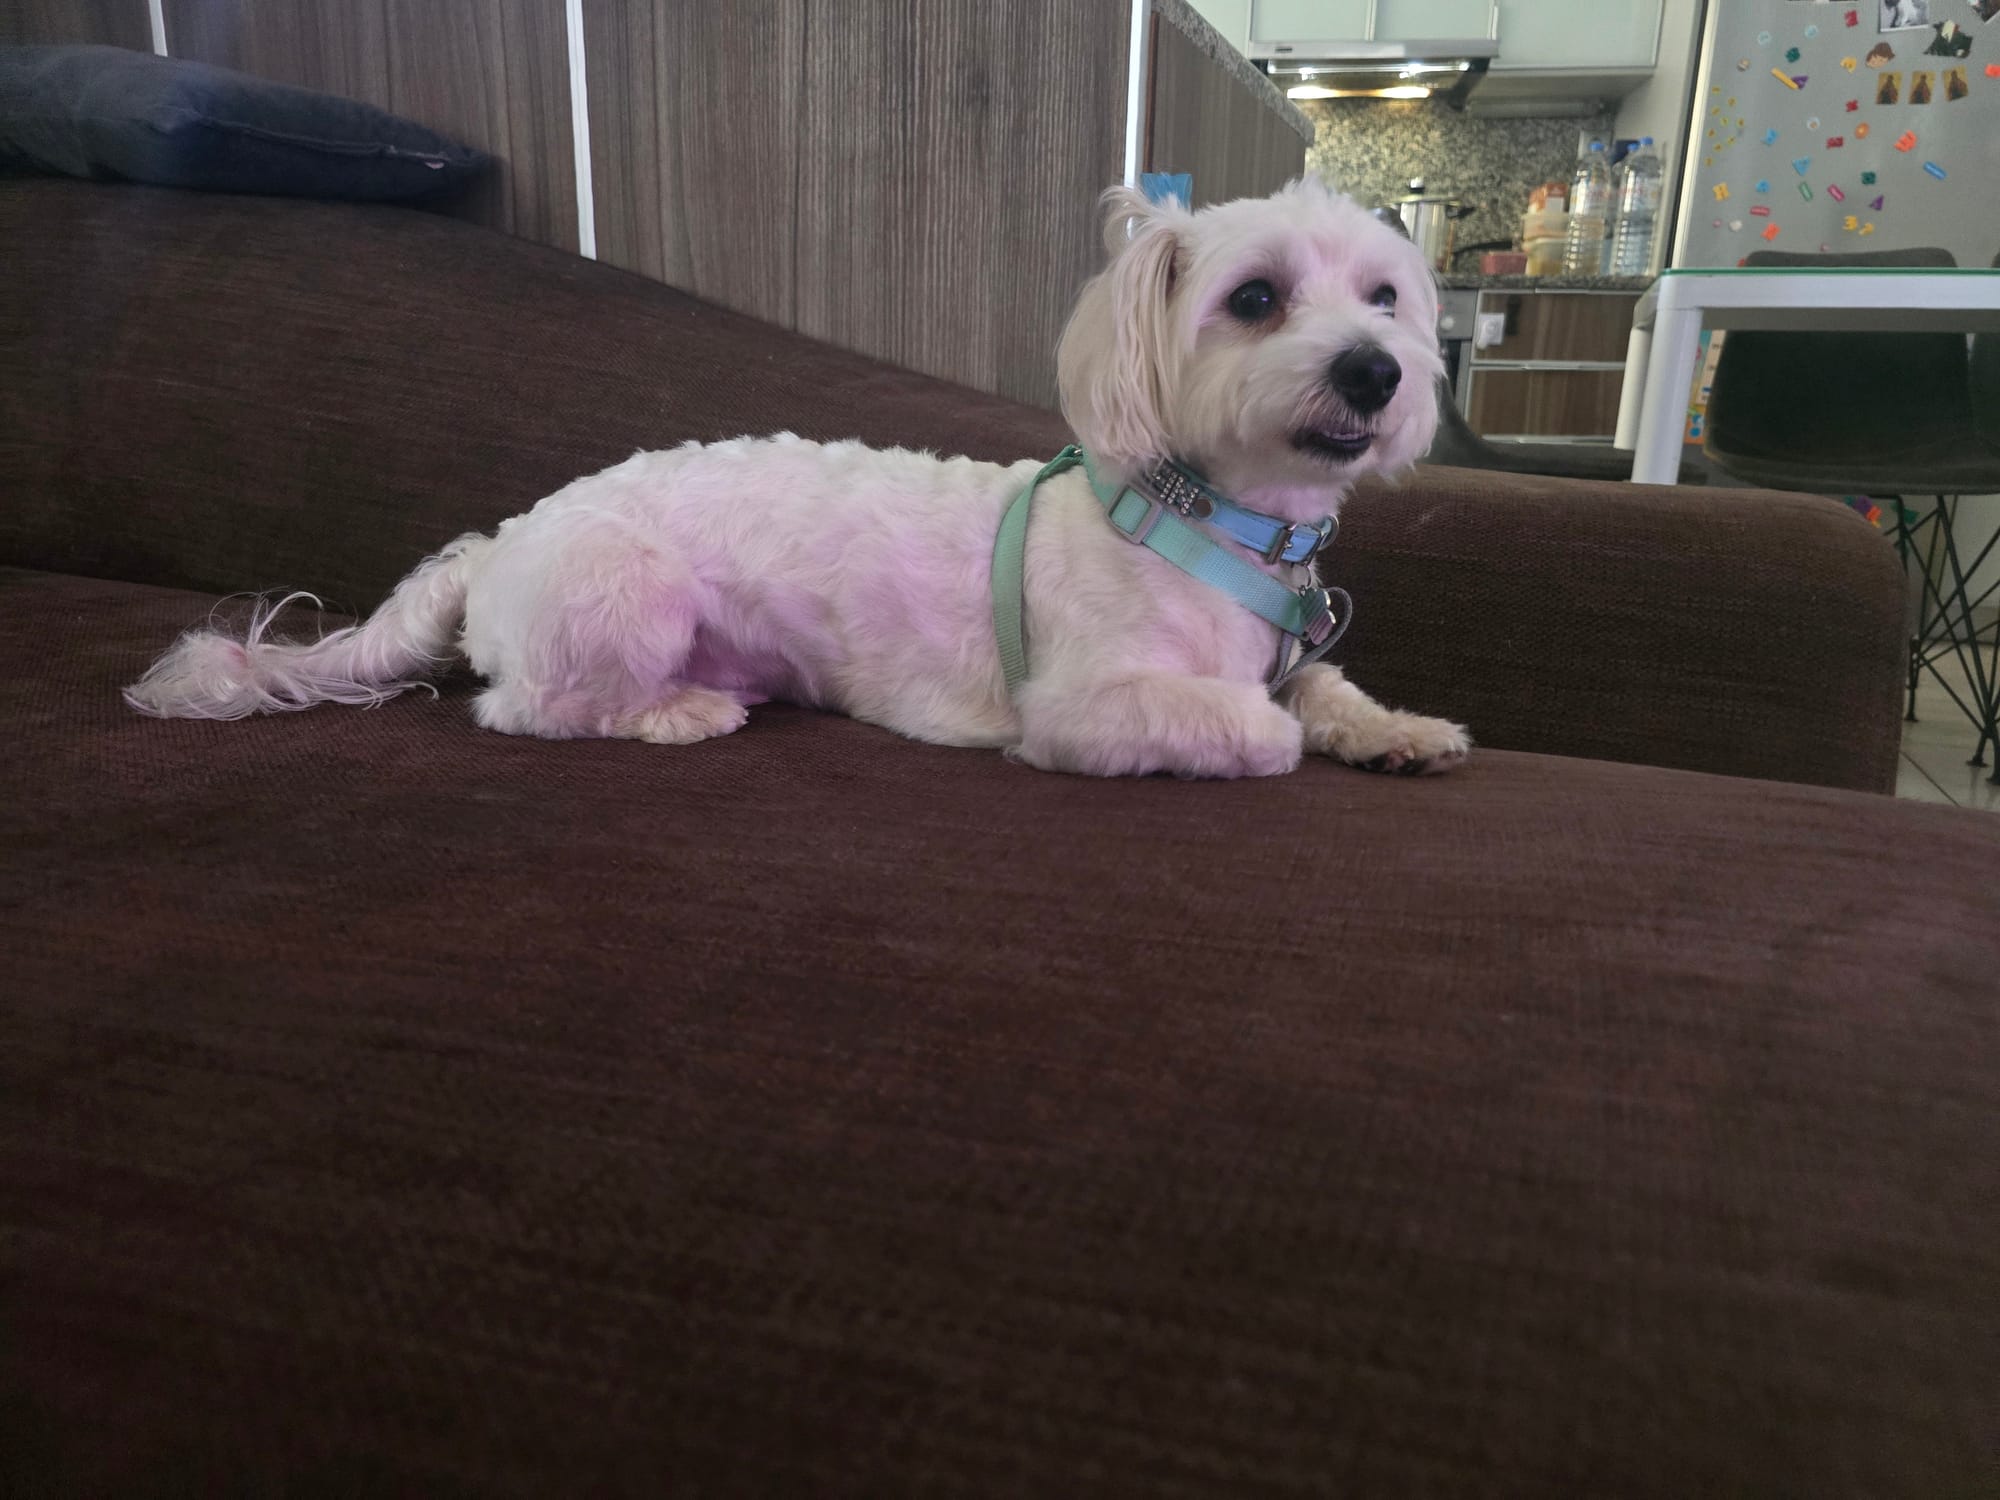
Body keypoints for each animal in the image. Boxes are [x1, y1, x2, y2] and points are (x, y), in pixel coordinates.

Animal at [125, 178, 1469, 780]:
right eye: (1253, 299)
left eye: (1383, 297)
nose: (1371, 374)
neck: (1201, 522)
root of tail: (498, 540)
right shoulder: (1086, 707)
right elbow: (1253, 724)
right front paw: (1282, 731)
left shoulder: (1287, 645)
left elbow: (1321, 687)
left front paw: (1395, 728)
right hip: (628, 595)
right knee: (523, 707)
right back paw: (671, 712)